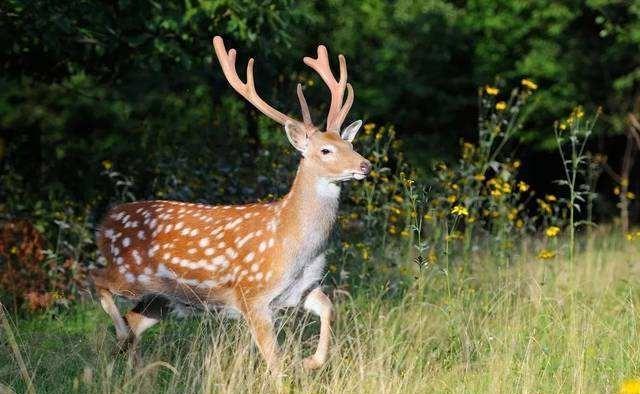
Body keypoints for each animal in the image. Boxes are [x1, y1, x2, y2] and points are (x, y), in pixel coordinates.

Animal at [90, 36, 370, 372]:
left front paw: (311, 361)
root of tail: (105, 222)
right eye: (326, 150)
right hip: (130, 273)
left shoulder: (302, 289)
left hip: (165, 298)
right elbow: (274, 359)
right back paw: (121, 340)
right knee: (96, 278)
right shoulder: (252, 294)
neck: (295, 245)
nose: (365, 165)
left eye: (350, 144)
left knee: (134, 319)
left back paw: (138, 370)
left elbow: (329, 307)